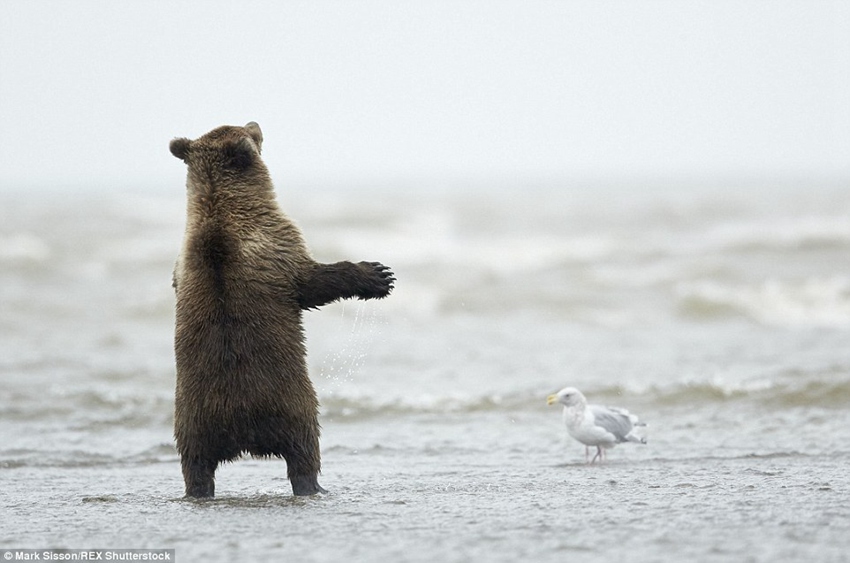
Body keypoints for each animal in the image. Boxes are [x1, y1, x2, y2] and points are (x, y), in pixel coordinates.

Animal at [169, 122, 394, 498]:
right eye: (249, 131)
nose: (255, 123)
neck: (220, 211)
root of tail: (240, 430)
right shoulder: (278, 246)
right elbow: (313, 281)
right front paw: (378, 275)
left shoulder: (182, 261)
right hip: (291, 401)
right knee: (304, 448)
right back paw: (314, 486)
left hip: (193, 418)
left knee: (196, 464)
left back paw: (197, 490)